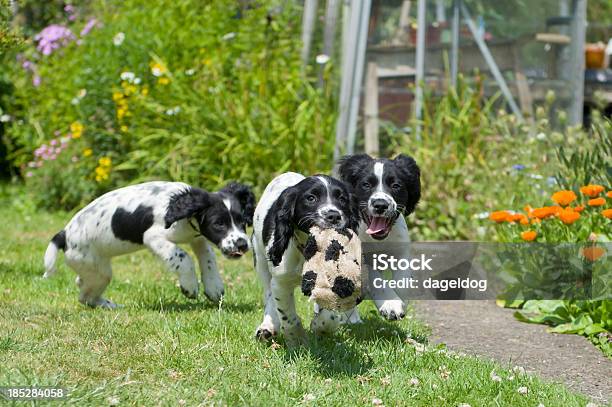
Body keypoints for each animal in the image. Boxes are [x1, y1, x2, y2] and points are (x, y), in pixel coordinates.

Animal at [42, 182, 253, 310]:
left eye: (243, 222)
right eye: (219, 224)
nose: (242, 244)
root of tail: (64, 234)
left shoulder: (197, 237)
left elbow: (208, 257)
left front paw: (214, 286)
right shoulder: (153, 237)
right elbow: (183, 257)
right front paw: (190, 286)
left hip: (94, 267)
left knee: (81, 283)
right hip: (98, 270)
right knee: (85, 297)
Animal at [252, 172, 360, 348]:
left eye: (342, 199)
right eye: (311, 198)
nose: (334, 216)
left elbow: (330, 315)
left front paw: (319, 327)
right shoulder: (281, 281)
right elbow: (288, 316)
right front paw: (297, 341)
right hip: (260, 259)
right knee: (269, 294)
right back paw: (267, 326)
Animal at [338, 155, 418, 320]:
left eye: (396, 185)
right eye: (366, 184)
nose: (380, 205)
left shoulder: (401, 248)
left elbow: (403, 279)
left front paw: (400, 300)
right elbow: (373, 275)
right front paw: (391, 304)